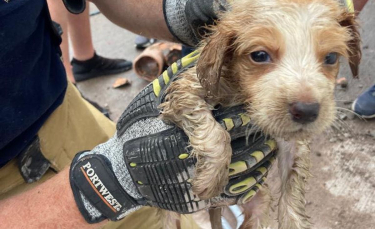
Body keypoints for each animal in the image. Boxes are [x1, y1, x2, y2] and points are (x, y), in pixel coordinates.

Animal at [159, 0, 362, 228]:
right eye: (259, 56)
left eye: (331, 57)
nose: (307, 111)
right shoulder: (185, 90)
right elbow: (216, 133)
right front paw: (210, 180)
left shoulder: (291, 143)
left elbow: (294, 183)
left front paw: (293, 220)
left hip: (259, 202)